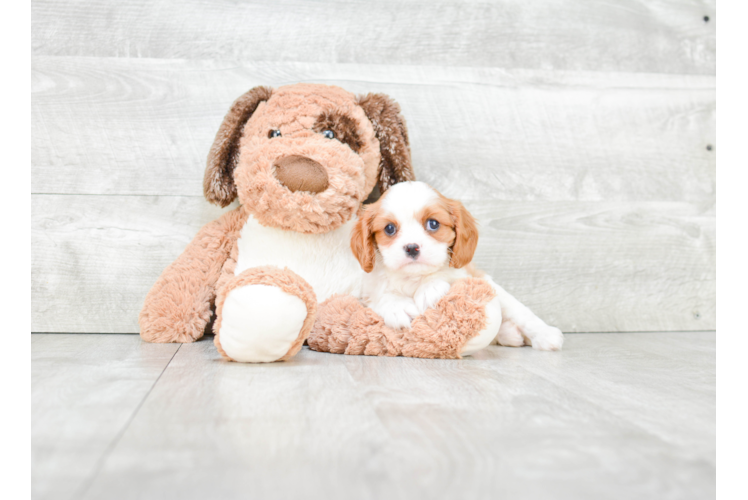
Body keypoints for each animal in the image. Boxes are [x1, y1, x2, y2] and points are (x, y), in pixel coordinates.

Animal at [350, 181, 568, 352]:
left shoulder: (478, 277)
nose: (412, 247)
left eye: (433, 224)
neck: (414, 278)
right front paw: (397, 306)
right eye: (389, 228)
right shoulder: (365, 294)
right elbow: (379, 296)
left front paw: (430, 287)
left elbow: (518, 310)